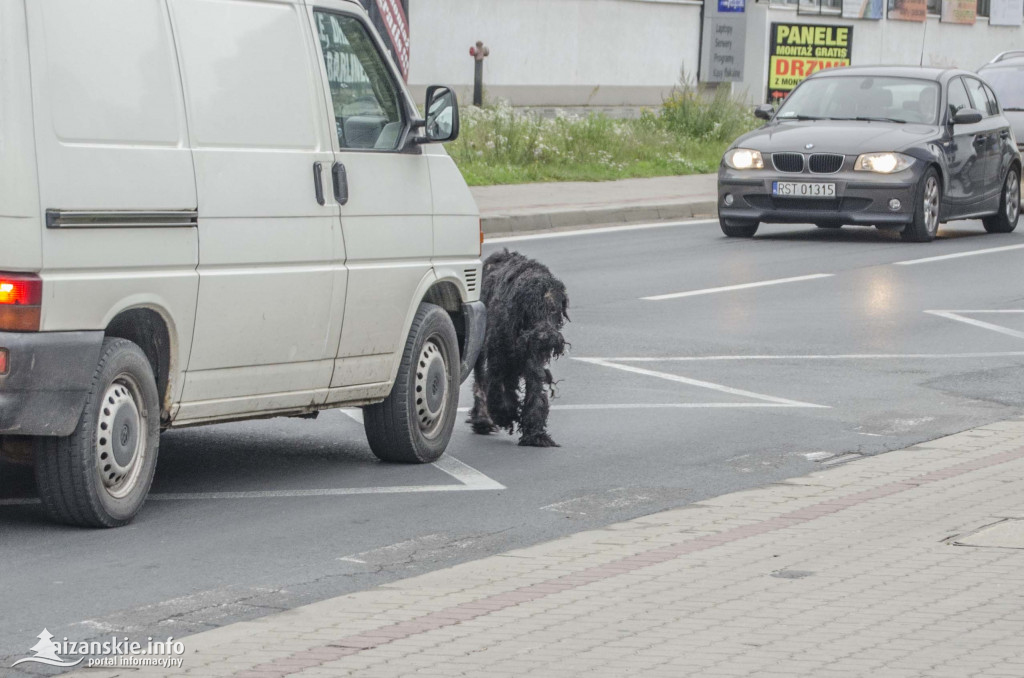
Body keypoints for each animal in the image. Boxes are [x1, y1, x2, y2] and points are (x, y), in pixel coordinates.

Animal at [468, 249, 569, 446]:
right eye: (530, 308)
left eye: (553, 309)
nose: (544, 338)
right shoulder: (498, 357)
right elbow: (498, 386)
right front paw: (504, 414)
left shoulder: (533, 359)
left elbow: (535, 390)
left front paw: (535, 433)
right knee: (480, 379)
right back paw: (482, 419)